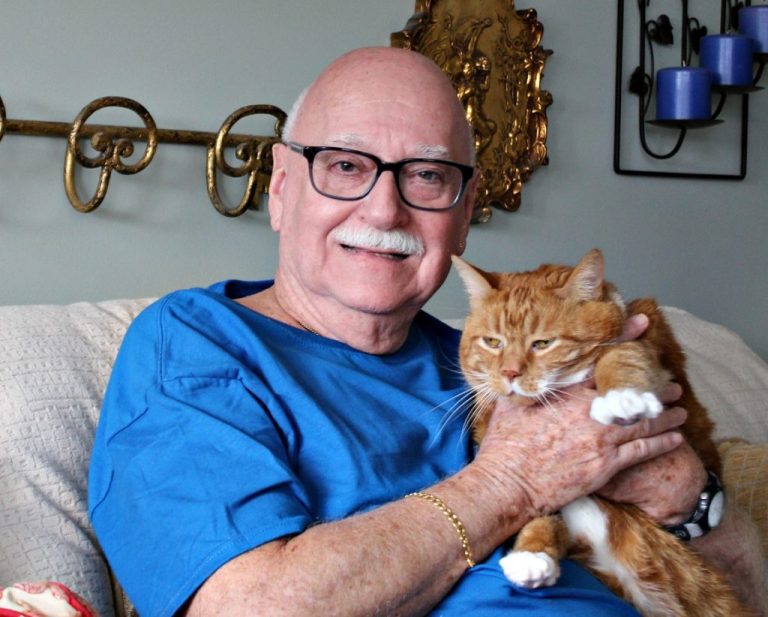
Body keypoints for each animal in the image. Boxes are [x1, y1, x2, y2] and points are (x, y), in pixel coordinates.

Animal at [452, 249, 752, 616]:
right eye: (492, 342)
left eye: (543, 343)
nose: (509, 373)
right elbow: (536, 514)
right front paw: (531, 554)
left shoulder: (652, 340)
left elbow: (621, 354)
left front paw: (621, 398)